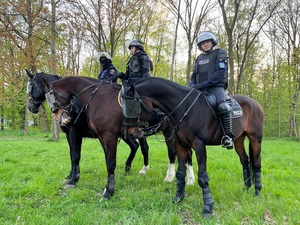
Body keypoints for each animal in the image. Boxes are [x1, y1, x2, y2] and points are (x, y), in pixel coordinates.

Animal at [25, 71, 195, 190]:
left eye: (32, 86)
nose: (31, 107)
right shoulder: (83, 136)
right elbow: (77, 156)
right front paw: (70, 176)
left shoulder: (77, 133)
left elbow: (76, 156)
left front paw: (74, 180)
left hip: (169, 133)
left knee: (173, 153)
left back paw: (175, 177)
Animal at [125, 76, 264, 217]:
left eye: (132, 106)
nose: (130, 133)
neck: (184, 108)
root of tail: (255, 103)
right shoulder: (180, 144)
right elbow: (180, 173)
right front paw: (178, 199)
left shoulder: (199, 146)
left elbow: (202, 177)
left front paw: (208, 207)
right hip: (238, 139)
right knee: (245, 161)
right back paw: (246, 188)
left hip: (255, 139)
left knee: (256, 163)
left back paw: (257, 192)